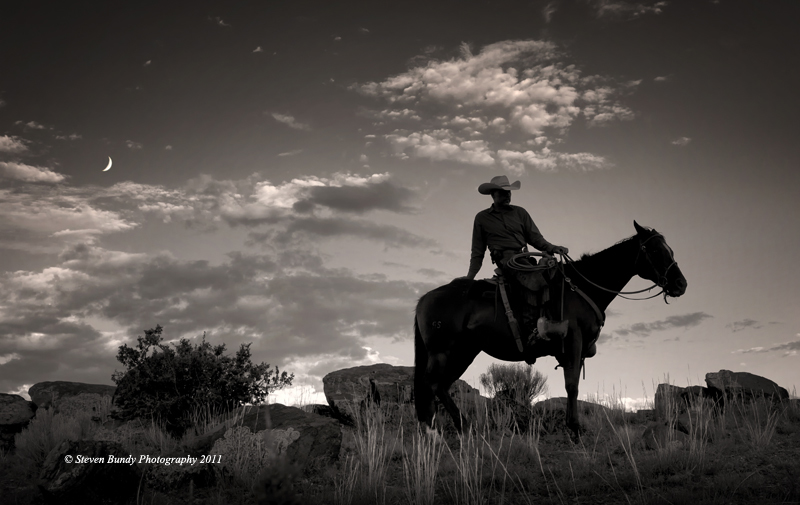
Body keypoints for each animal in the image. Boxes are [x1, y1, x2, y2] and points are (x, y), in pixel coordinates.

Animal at [412, 220, 688, 434]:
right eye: (654, 250)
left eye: (670, 249)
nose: (680, 284)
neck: (583, 286)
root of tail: (424, 299)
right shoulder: (573, 341)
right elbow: (572, 386)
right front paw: (574, 429)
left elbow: (572, 384)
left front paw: (572, 425)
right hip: (444, 351)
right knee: (433, 384)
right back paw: (446, 429)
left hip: (465, 352)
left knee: (442, 386)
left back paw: (454, 427)